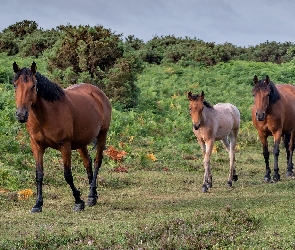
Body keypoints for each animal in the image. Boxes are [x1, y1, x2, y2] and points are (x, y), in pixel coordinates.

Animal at [12, 61, 112, 212]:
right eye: (15, 85)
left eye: (33, 86)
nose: (21, 115)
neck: (48, 113)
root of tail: (99, 93)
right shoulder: (36, 146)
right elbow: (39, 174)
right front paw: (38, 204)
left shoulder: (65, 146)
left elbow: (67, 175)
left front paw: (78, 201)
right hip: (81, 142)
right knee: (87, 163)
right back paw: (93, 194)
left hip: (102, 135)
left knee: (96, 162)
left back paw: (90, 196)